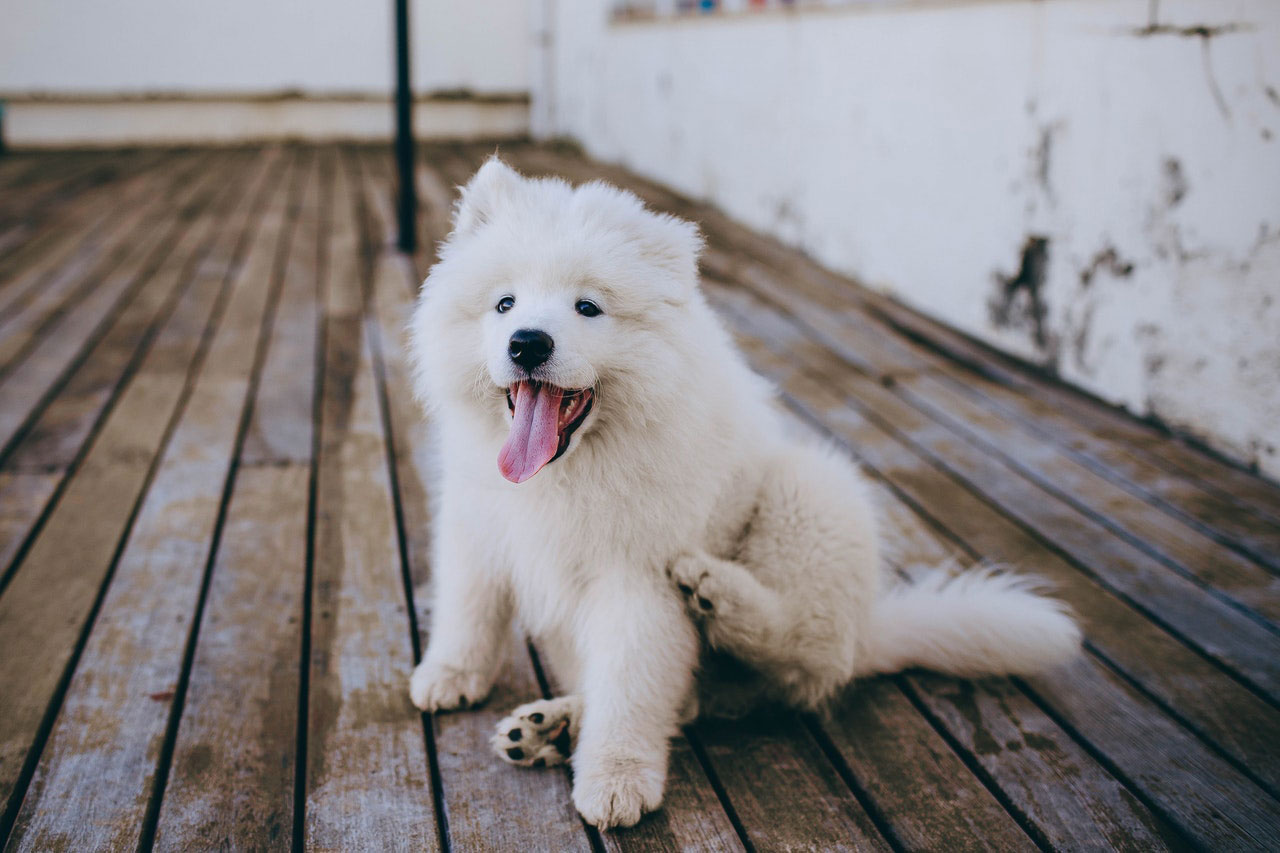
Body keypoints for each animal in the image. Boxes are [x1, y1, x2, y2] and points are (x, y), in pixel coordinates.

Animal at [401, 157, 1080, 824]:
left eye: (587, 308)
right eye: (505, 304)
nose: (527, 343)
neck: (572, 468)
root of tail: (867, 632)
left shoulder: (637, 580)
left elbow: (630, 689)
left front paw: (616, 779)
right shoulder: (477, 526)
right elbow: (469, 607)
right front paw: (449, 675)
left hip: (812, 492)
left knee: (799, 651)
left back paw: (714, 593)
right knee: (694, 700)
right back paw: (552, 727)